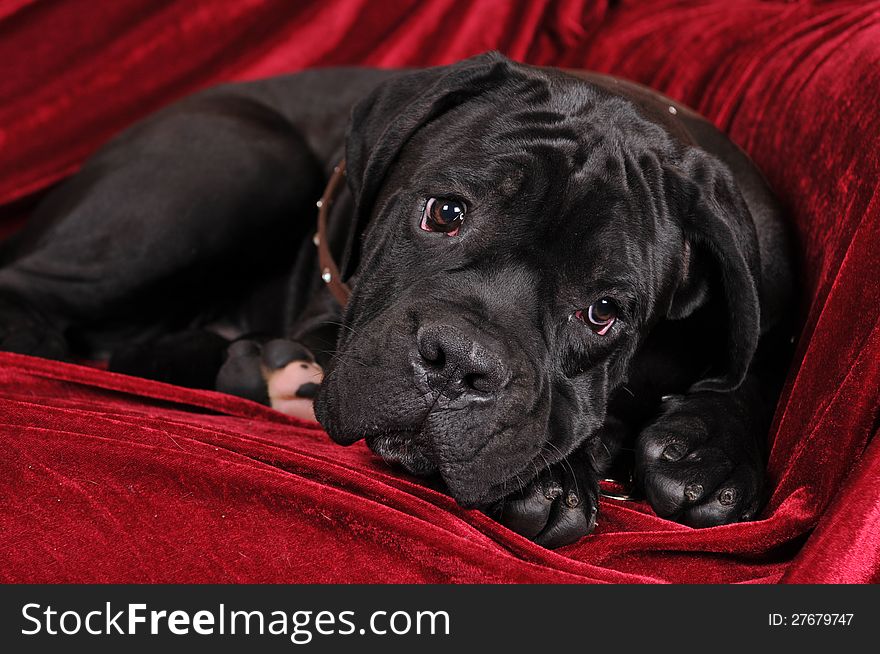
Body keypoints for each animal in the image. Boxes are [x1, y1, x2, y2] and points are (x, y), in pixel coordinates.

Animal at [0, 53, 796, 548]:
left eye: (604, 311)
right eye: (444, 212)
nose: (458, 365)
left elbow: (757, 370)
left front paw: (708, 457)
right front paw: (559, 478)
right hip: (246, 165)